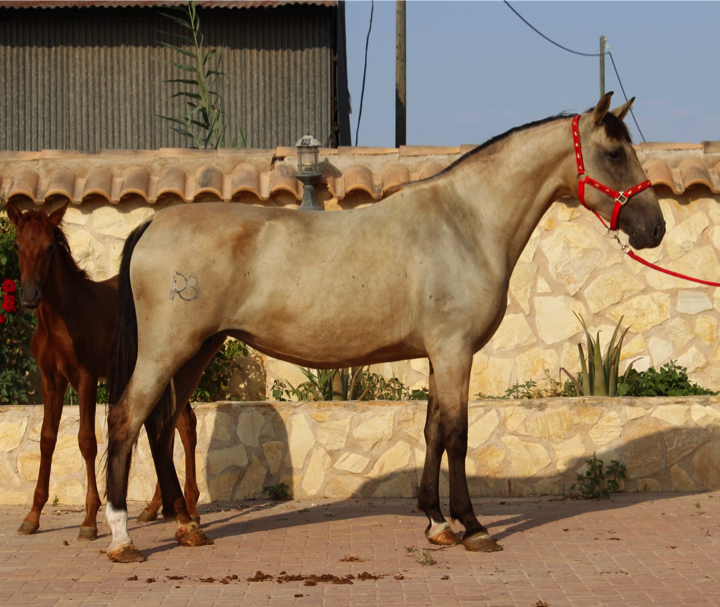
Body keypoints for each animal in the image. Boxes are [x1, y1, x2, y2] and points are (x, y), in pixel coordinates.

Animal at [6, 201, 201, 539]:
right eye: (17, 245)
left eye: (48, 247)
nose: (30, 296)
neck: (61, 318)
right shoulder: (51, 381)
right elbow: (46, 439)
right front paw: (32, 516)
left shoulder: (84, 378)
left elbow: (86, 440)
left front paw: (88, 520)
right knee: (170, 425)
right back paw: (154, 508)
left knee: (185, 426)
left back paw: (190, 505)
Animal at [104, 93, 666, 562]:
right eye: (614, 154)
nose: (654, 228)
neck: (465, 223)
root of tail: (152, 224)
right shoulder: (455, 351)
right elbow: (458, 435)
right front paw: (473, 527)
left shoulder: (441, 354)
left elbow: (433, 430)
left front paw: (437, 523)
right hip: (167, 350)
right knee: (127, 419)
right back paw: (122, 538)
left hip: (198, 349)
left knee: (161, 425)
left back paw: (187, 527)